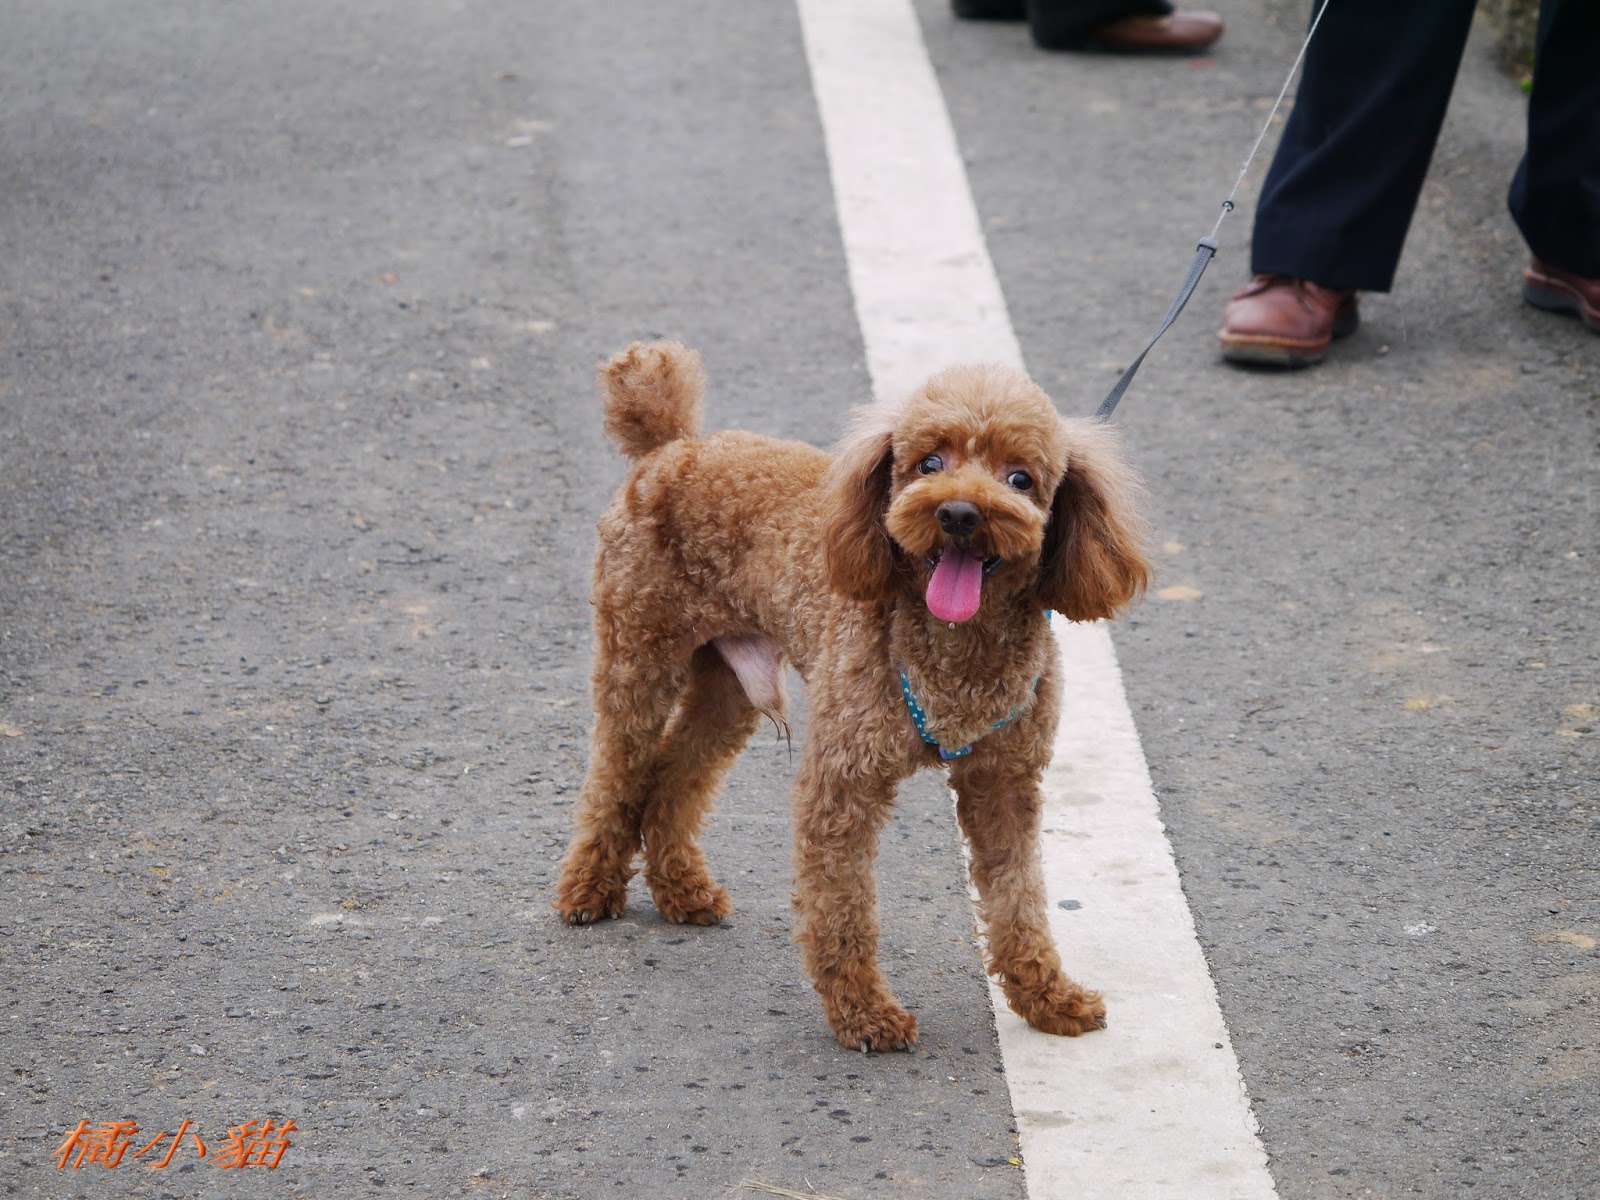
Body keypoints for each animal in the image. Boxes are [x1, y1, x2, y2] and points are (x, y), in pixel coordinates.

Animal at [554, 341, 1150, 1050]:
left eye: (1020, 479)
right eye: (928, 463)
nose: (958, 514)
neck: (957, 649)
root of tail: (672, 446)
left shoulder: (1004, 781)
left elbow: (1019, 899)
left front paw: (1047, 996)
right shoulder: (844, 780)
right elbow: (843, 907)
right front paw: (864, 1014)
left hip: (728, 685)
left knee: (673, 776)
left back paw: (682, 890)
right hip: (637, 653)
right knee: (615, 774)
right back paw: (588, 890)